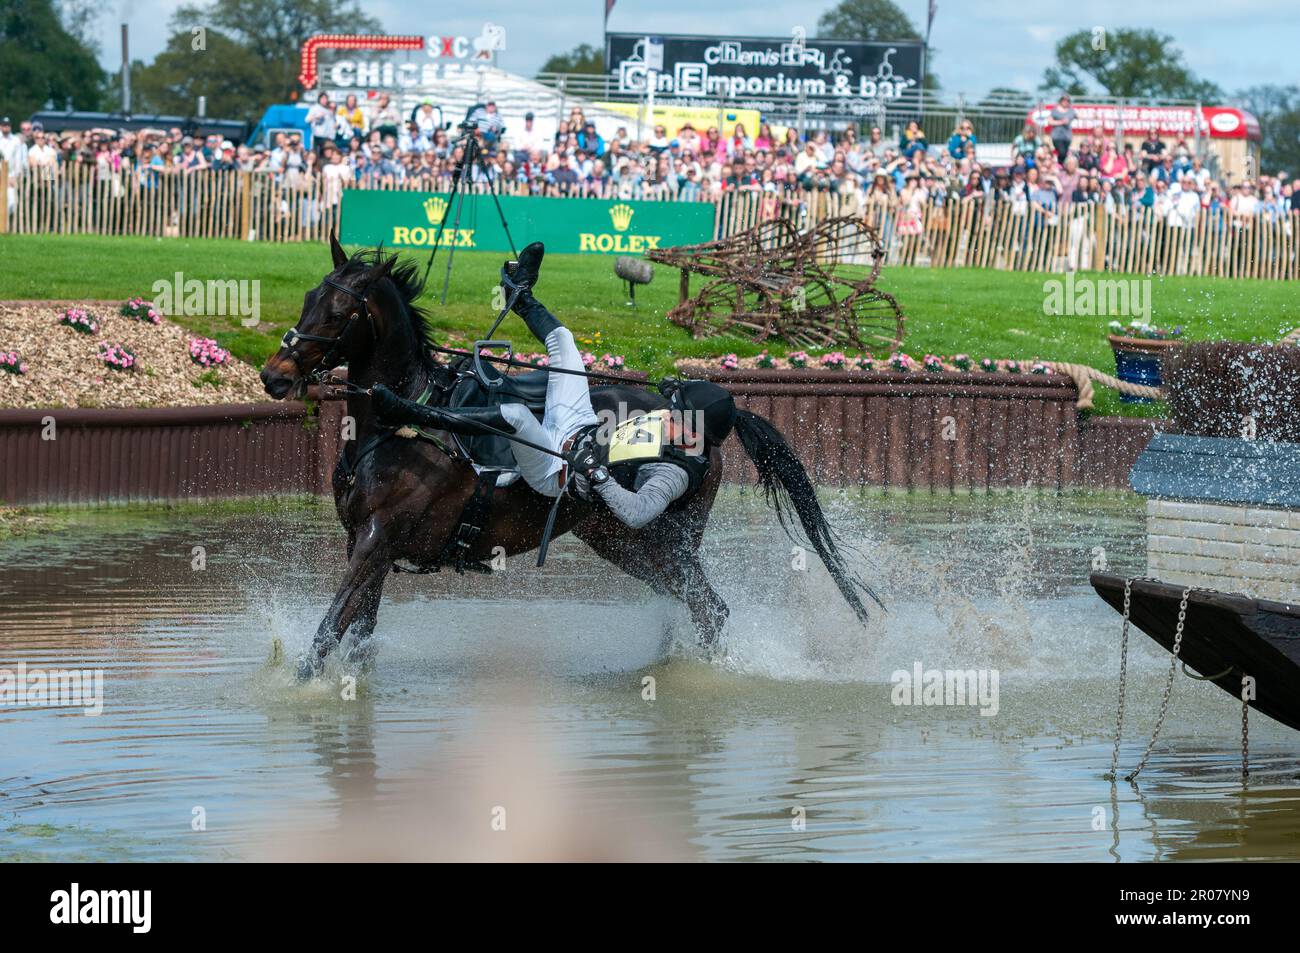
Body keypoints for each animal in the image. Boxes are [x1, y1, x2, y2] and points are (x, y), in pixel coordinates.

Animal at [258, 232, 878, 670]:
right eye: (310, 297)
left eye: (342, 313)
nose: (275, 375)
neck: (400, 427)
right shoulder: (364, 545)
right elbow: (355, 638)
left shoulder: (376, 542)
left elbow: (324, 638)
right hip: (621, 541)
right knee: (692, 603)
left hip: (657, 537)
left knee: (709, 606)